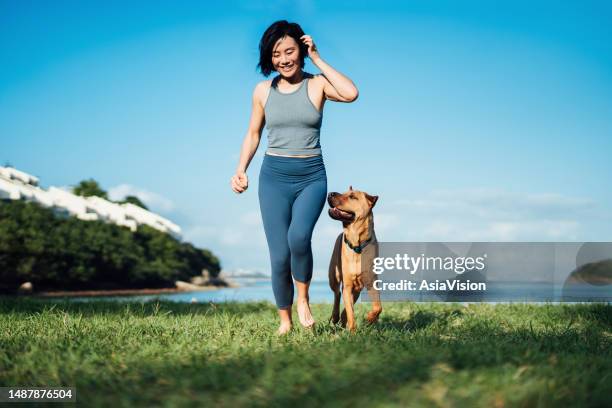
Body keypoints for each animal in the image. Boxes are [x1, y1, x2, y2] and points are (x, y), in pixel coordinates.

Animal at [328, 187, 380, 332]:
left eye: (352, 196)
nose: (330, 193)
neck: (357, 245)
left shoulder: (371, 282)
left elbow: (378, 307)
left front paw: (370, 318)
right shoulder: (347, 284)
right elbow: (351, 311)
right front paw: (352, 331)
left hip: (356, 289)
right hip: (334, 276)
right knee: (337, 294)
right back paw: (336, 316)